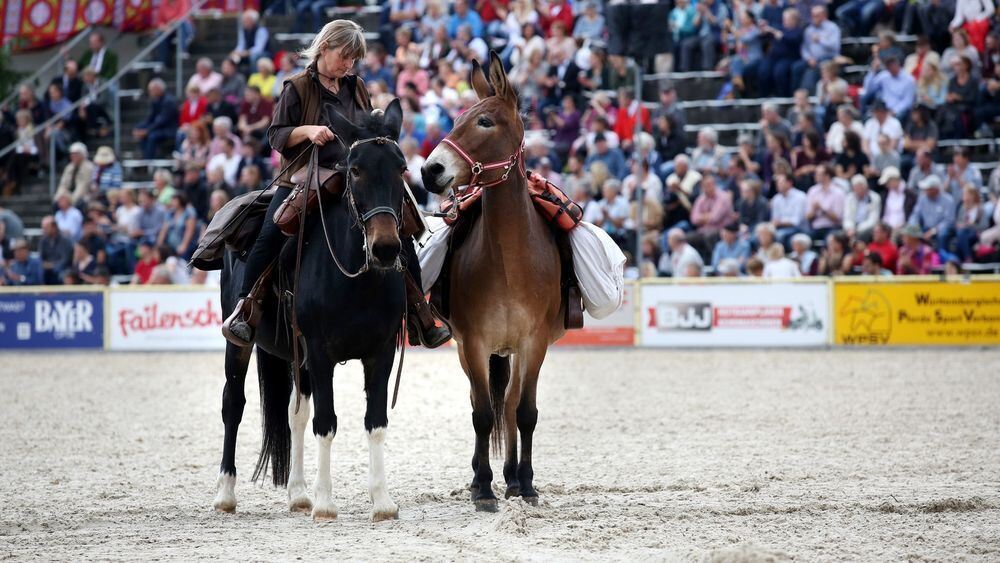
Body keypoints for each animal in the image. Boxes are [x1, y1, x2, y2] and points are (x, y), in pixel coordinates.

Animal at [420, 53, 568, 512]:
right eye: (455, 119)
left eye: (485, 121)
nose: (430, 170)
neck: (509, 261)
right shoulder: (473, 342)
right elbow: (482, 414)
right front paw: (483, 488)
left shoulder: (534, 343)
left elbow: (525, 413)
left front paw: (527, 484)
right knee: (483, 402)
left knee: (512, 404)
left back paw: (514, 478)